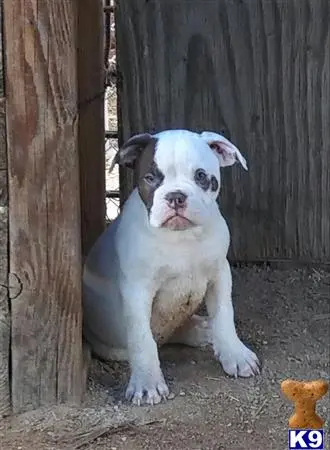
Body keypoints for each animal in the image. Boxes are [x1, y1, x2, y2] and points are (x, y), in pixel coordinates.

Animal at [82, 128, 260, 406]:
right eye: (150, 178)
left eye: (201, 176)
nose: (176, 196)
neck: (182, 238)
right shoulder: (137, 292)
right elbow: (142, 338)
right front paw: (147, 383)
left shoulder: (220, 274)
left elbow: (224, 315)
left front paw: (235, 354)